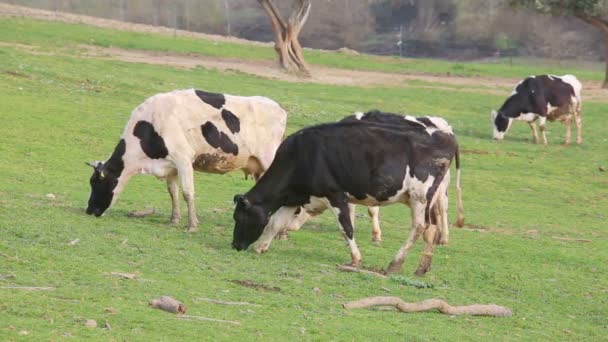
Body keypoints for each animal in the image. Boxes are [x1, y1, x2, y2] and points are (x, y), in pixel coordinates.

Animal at [83, 88, 290, 232]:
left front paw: (192, 225)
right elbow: (173, 192)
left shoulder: (183, 159)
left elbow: (187, 193)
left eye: (97, 183)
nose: (89, 210)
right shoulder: (170, 165)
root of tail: (279, 108)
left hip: (269, 160)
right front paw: (174, 219)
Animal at [230, 111, 464, 276]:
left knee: (419, 227)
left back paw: (395, 264)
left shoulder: (335, 195)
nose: (235, 246)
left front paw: (355, 258)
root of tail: (447, 135)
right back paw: (422, 267)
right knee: (431, 228)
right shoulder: (294, 197)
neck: (301, 156)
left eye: (239, 217)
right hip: (428, 198)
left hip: (419, 196)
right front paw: (261, 246)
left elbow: (346, 228)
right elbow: (275, 223)